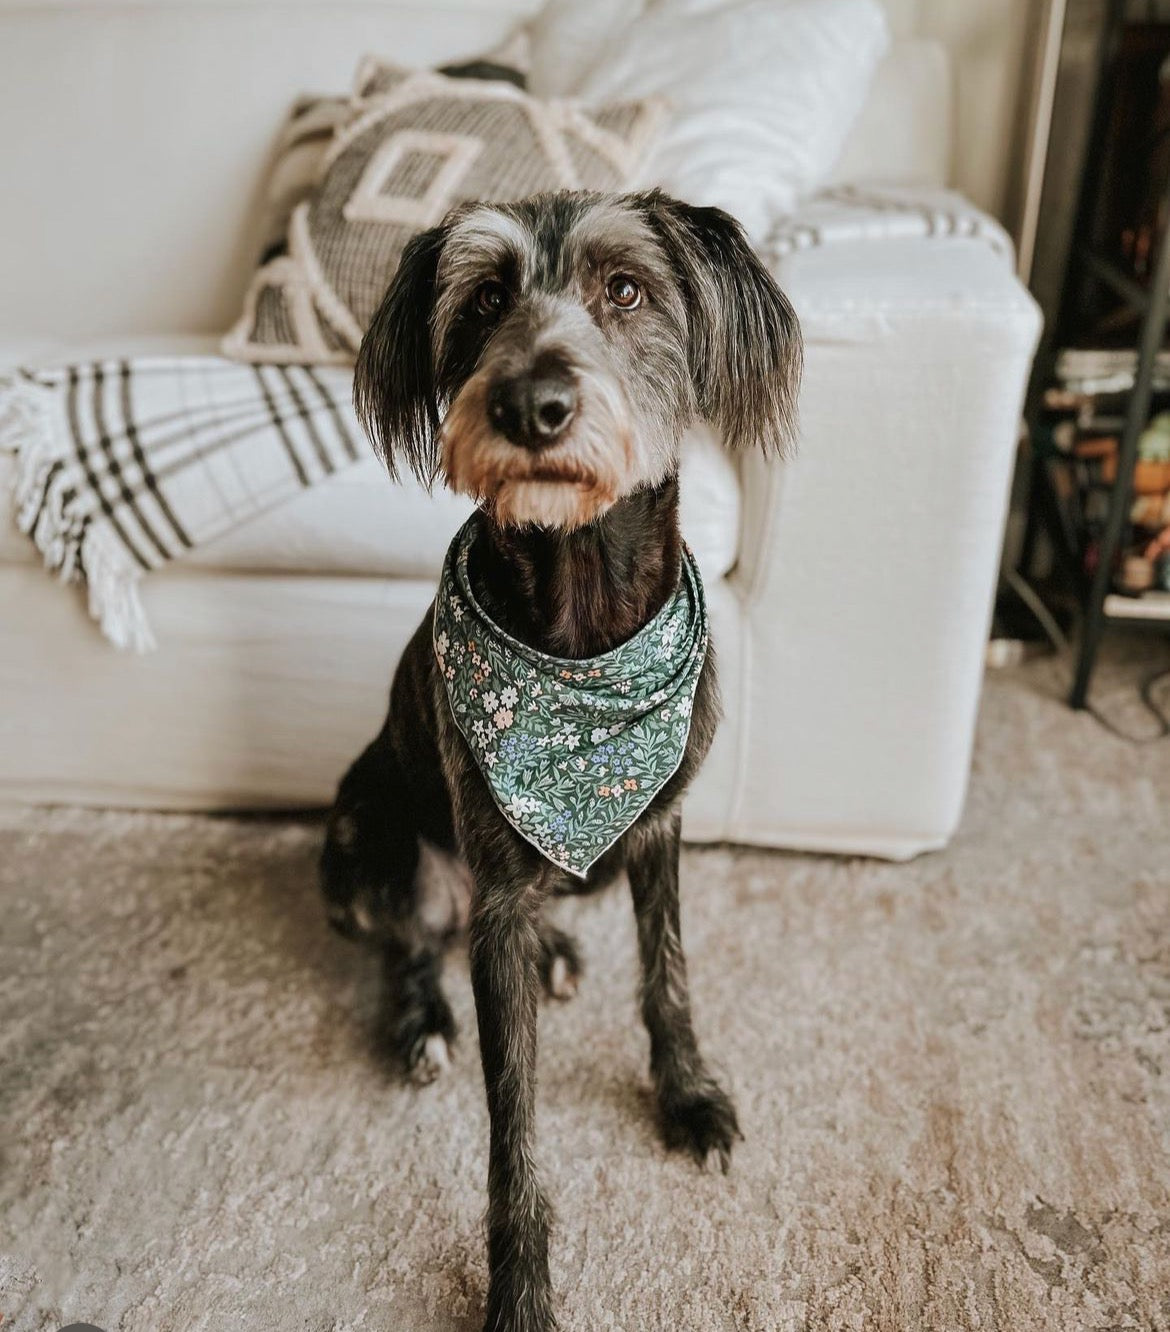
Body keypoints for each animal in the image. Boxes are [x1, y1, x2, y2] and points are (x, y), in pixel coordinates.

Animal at [318, 190, 804, 1332]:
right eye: (485, 298)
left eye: (624, 289)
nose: (532, 405)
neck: (583, 620)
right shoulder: (493, 894)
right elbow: (514, 1120)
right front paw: (522, 1285)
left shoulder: (662, 827)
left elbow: (669, 978)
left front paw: (688, 1096)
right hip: (372, 843)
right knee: (412, 943)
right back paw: (425, 1020)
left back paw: (560, 952)